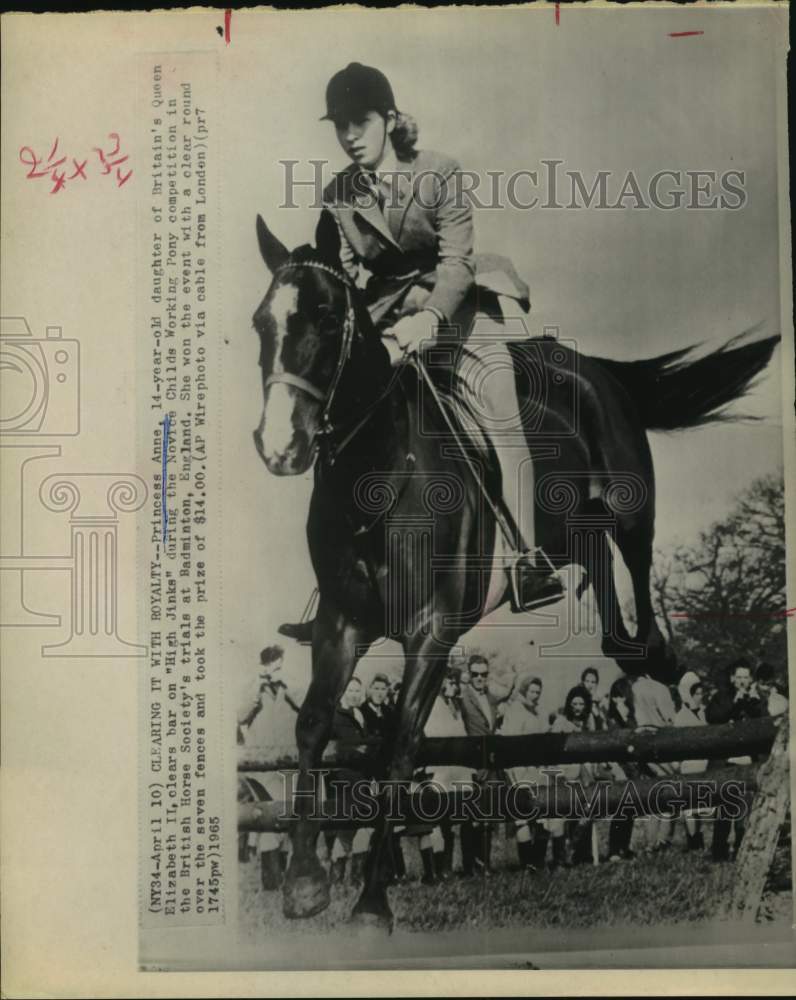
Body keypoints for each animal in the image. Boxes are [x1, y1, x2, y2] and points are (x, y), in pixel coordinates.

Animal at [252, 209, 780, 928]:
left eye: (329, 318)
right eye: (261, 323)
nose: (281, 447)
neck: (377, 472)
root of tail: (591, 365)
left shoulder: (431, 631)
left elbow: (398, 748)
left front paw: (370, 905)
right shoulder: (342, 625)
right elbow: (311, 727)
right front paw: (305, 883)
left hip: (631, 501)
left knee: (635, 570)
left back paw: (666, 661)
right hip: (572, 527)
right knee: (600, 584)